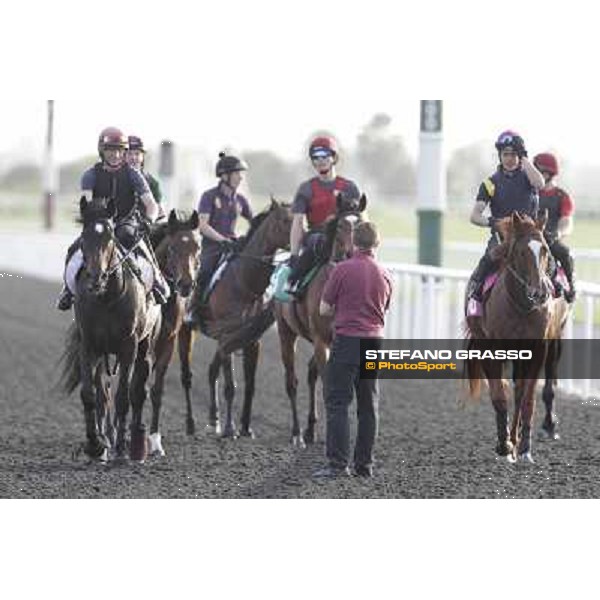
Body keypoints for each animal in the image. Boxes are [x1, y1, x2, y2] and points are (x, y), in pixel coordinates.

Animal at [59, 197, 162, 464]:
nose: (96, 278)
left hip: (146, 346)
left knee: (139, 391)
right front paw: (95, 445)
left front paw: (121, 449)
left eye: (109, 237)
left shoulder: (129, 346)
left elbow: (124, 397)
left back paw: (135, 444)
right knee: (103, 393)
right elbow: (90, 395)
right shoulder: (89, 346)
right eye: (83, 237)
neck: (106, 298)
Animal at [179, 199, 294, 438]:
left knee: (211, 372)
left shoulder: (251, 341)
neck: (244, 281)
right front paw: (230, 429)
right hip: (186, 331)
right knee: (187, 377)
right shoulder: (227, 337)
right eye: (283, 220)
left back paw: (213, 419)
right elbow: (231, 386)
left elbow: (250, 386)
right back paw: (193, 424)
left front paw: (246, 427)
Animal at [274, 192, 366, 446]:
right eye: (342, 225)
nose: (353, 253)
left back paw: (310, 429)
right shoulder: (321, 339)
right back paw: (297, 433)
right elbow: (328, 384)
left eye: (361, 223)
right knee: (292, 381)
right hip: (286, 332)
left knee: (310, 374)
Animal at [466, 212, 568, 464]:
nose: (540, 292)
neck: (521, 306)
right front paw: (504, 444)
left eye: (544, 250)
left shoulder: (538, 348)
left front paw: (524, 447)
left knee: (528, 389)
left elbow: (527, 396)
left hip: (553, 340)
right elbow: (499, 395)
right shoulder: (491, 349)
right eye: (521, 252)